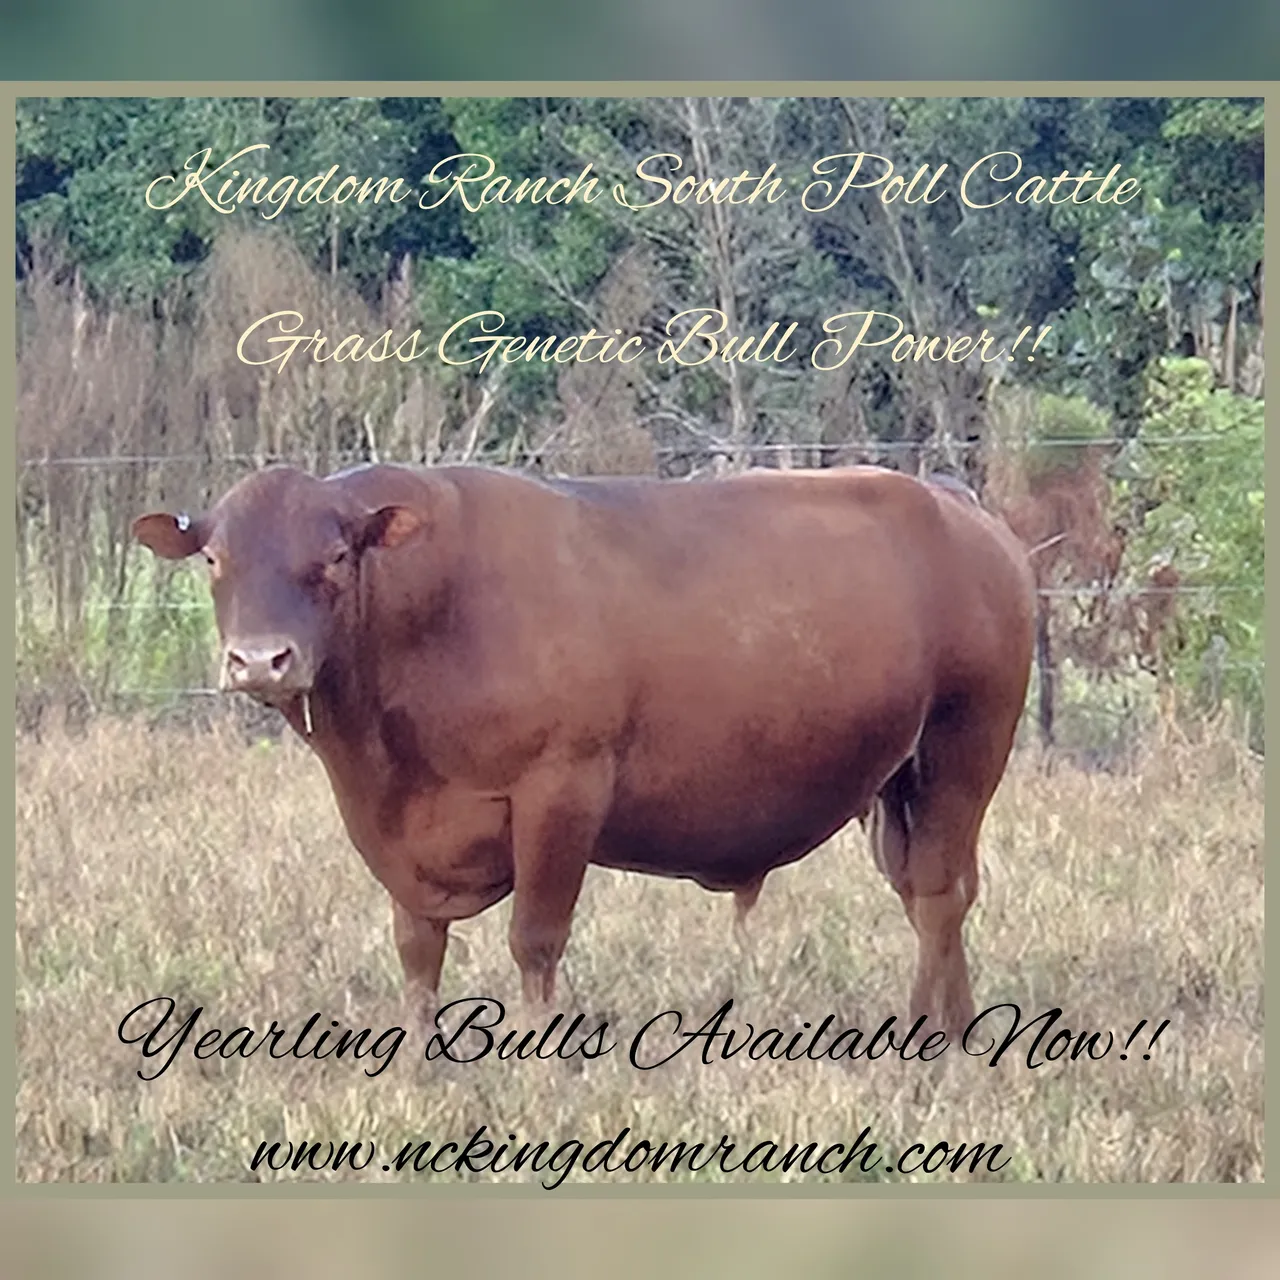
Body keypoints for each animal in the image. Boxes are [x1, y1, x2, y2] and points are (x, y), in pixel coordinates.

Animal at [133, 462, 1035, 1039]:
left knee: (938, 896)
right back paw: (958, 1033)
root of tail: (954, 503)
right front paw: (418, 1070)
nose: (260, 660)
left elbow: (534, 939)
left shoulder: (560, 789)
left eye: (333, 557)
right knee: (935, 893)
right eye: (214, 557)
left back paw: (924, 1045)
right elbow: (418, 950)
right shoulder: (401, 838)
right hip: (901, 784)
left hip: (966, 749)